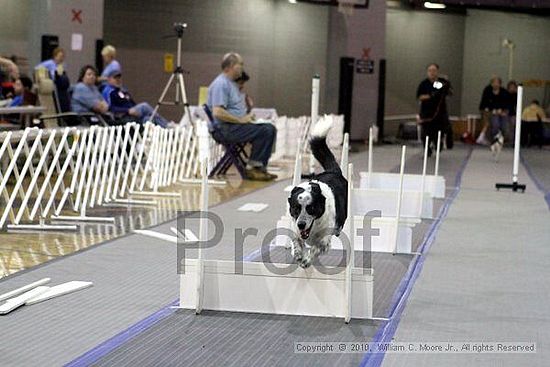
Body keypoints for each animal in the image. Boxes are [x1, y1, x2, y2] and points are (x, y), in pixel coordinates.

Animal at [288, 119, 350, 268]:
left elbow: (317, 247)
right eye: (296, 208)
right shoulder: (295, 229)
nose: (301, 224)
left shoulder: (325, 239)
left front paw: (306, 260)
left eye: (311, 208)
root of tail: (333, 172)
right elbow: (296, 242)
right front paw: (298, 255)